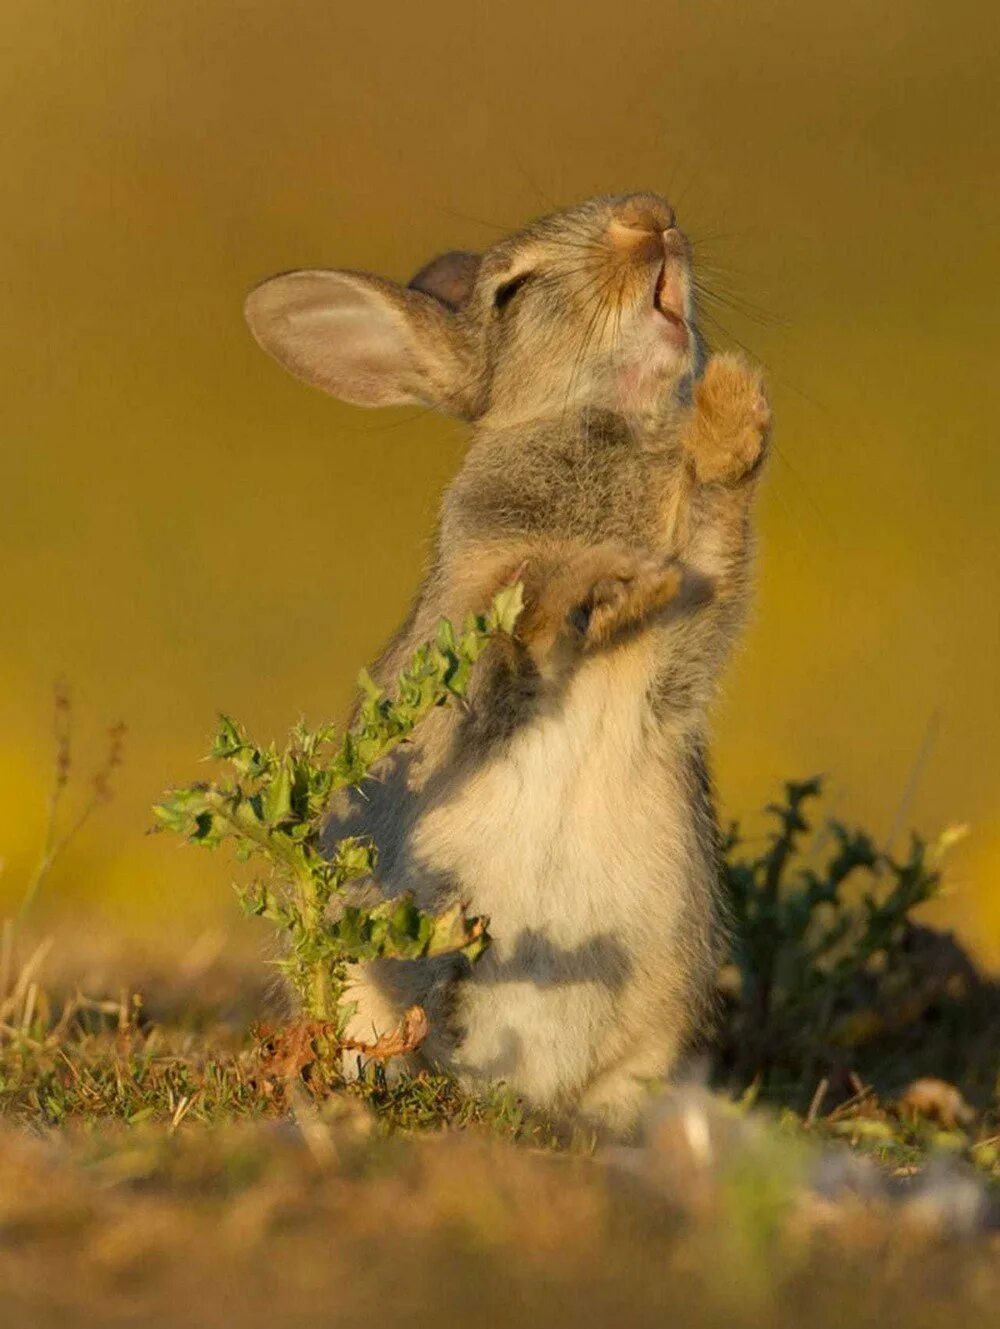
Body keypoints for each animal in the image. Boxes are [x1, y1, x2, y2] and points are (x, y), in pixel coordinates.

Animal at [244, 192, 771, 1137]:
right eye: (512, 291)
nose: (650, 215)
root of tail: (515, 1082)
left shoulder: (683, 647)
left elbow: (713, 539)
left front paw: (734, 408)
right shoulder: (475, 649)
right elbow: (524, 623)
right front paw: (612, 579)